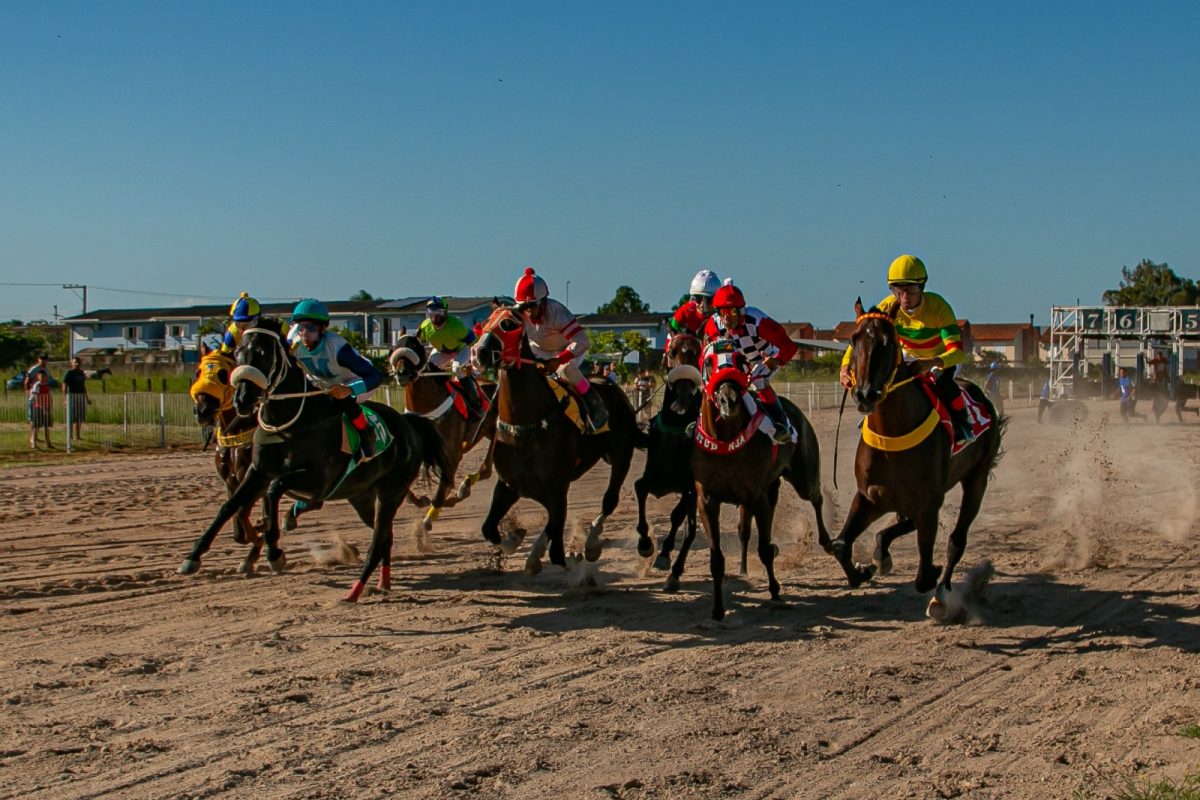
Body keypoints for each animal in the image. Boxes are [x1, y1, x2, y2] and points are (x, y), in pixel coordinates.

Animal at [182, 316, 451, 604]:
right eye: (239, 353)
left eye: (264, 354)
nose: (243, 399)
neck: (292, 421)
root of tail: (410, 425)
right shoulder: (257, 472)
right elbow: (229, 507)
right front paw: (193, 557)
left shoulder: (317, 481)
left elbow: (274, 491)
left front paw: (274, 552)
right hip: (361, 495)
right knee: (385, 536)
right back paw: (382, 583)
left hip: (391, 492)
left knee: (380, 537)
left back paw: (355, 590)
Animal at [386, 335, 494, 534]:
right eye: (394, 348)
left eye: (415, 346)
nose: (402, 373)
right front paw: (421, 500)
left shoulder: (452, 452)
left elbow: (444, 485)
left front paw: (429, 518)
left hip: (494, 430)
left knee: (487, 468)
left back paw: (464, 486)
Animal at [470, 307, 643, 575]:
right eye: (484, 322)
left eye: (509, 324)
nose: (479, 353)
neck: (528, 425)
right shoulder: (509, 485)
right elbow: (488, 528)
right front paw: (515, 540)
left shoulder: (557, 489)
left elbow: (558, 551)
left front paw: (573, 555)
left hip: (622, 456)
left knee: (609, 500)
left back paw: (591, 542)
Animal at [835, 299, 1003, 618]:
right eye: (853, 339)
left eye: (887, 342)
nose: (864, 394)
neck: (892, 435)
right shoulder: (869, 497)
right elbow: (840, 545)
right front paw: (864, 570)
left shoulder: (928, 503)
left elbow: (924, 576)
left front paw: (933, 579)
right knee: (901, 524)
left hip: (976, 479)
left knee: (956, 541)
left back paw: (942, 595)